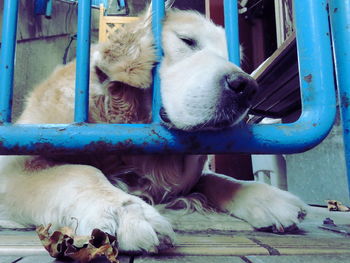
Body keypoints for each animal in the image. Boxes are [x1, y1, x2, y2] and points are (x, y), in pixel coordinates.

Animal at [0, 2, 306, 254]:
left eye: (236, 60)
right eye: (187, 41)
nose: (248, 87)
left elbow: (219, 179)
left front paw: (267, 197)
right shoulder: (13, 169)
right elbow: (79, 172)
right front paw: (125, 212)